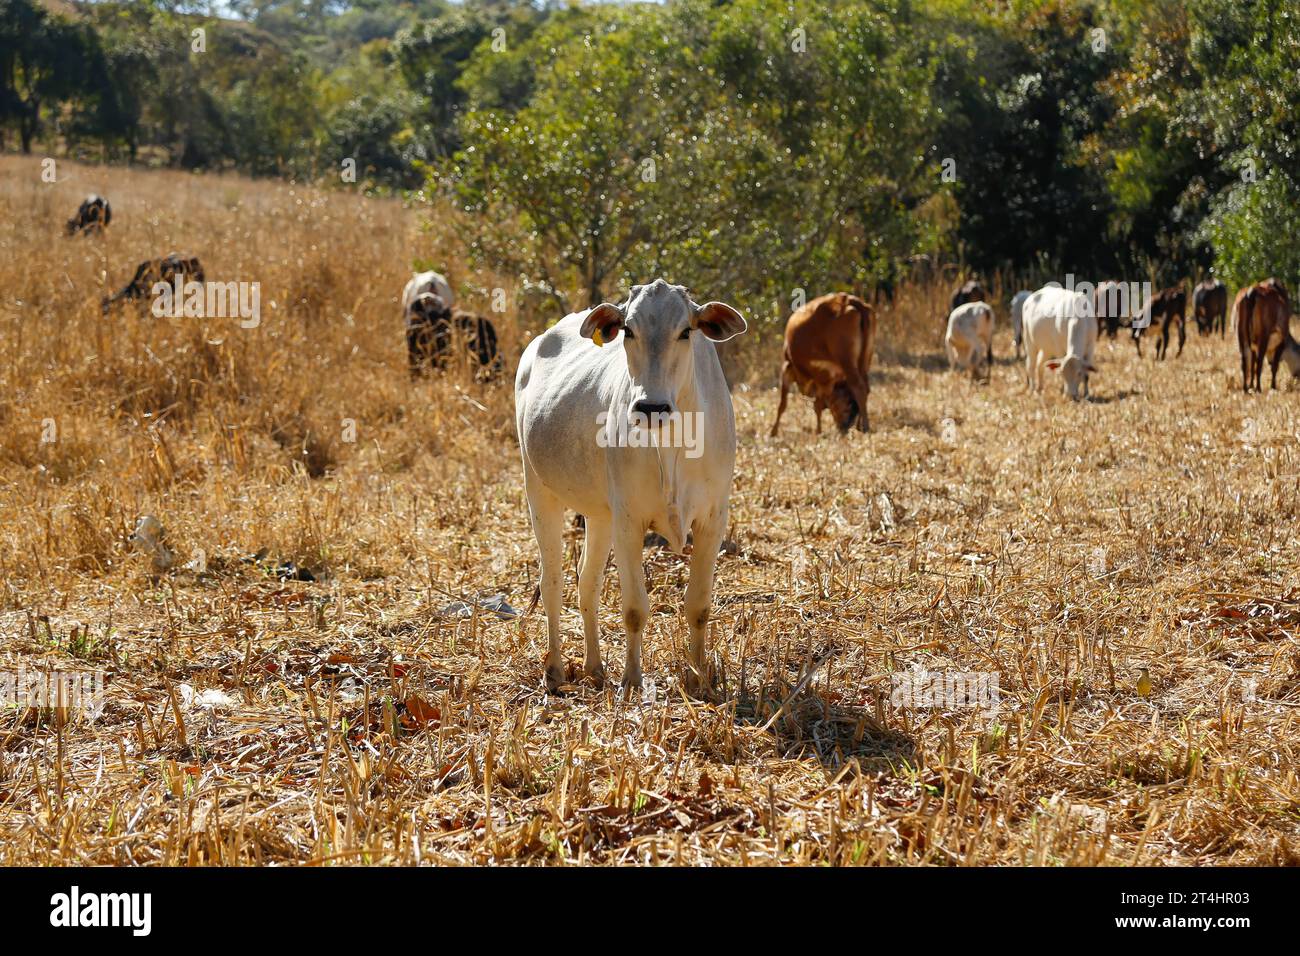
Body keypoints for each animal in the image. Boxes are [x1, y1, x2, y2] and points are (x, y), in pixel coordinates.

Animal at [514, 280, 748, 691]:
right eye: (629, 330)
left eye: (685, 331)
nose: (651, 408)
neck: (671, 444)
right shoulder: (628, 521)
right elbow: (635, 608)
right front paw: (632, 681)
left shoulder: (712, 520)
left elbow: (699, 605)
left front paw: (698, 677)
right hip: (539, 491)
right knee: (553, 582)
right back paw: (555, 669)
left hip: (599, 515)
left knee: (588, 583)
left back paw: (594, 667)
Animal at [764, 293, 878, 434]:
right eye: (848, 405)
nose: (844, 427)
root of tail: (848, 300)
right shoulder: (823, 377)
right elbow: (818, 403)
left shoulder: (788, 367)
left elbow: (783, 404)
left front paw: (773, 431)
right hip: (865, 360)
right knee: (866, 388)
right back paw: (859, 426)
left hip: (846, 360)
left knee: (859, 387)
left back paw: (865, 426)